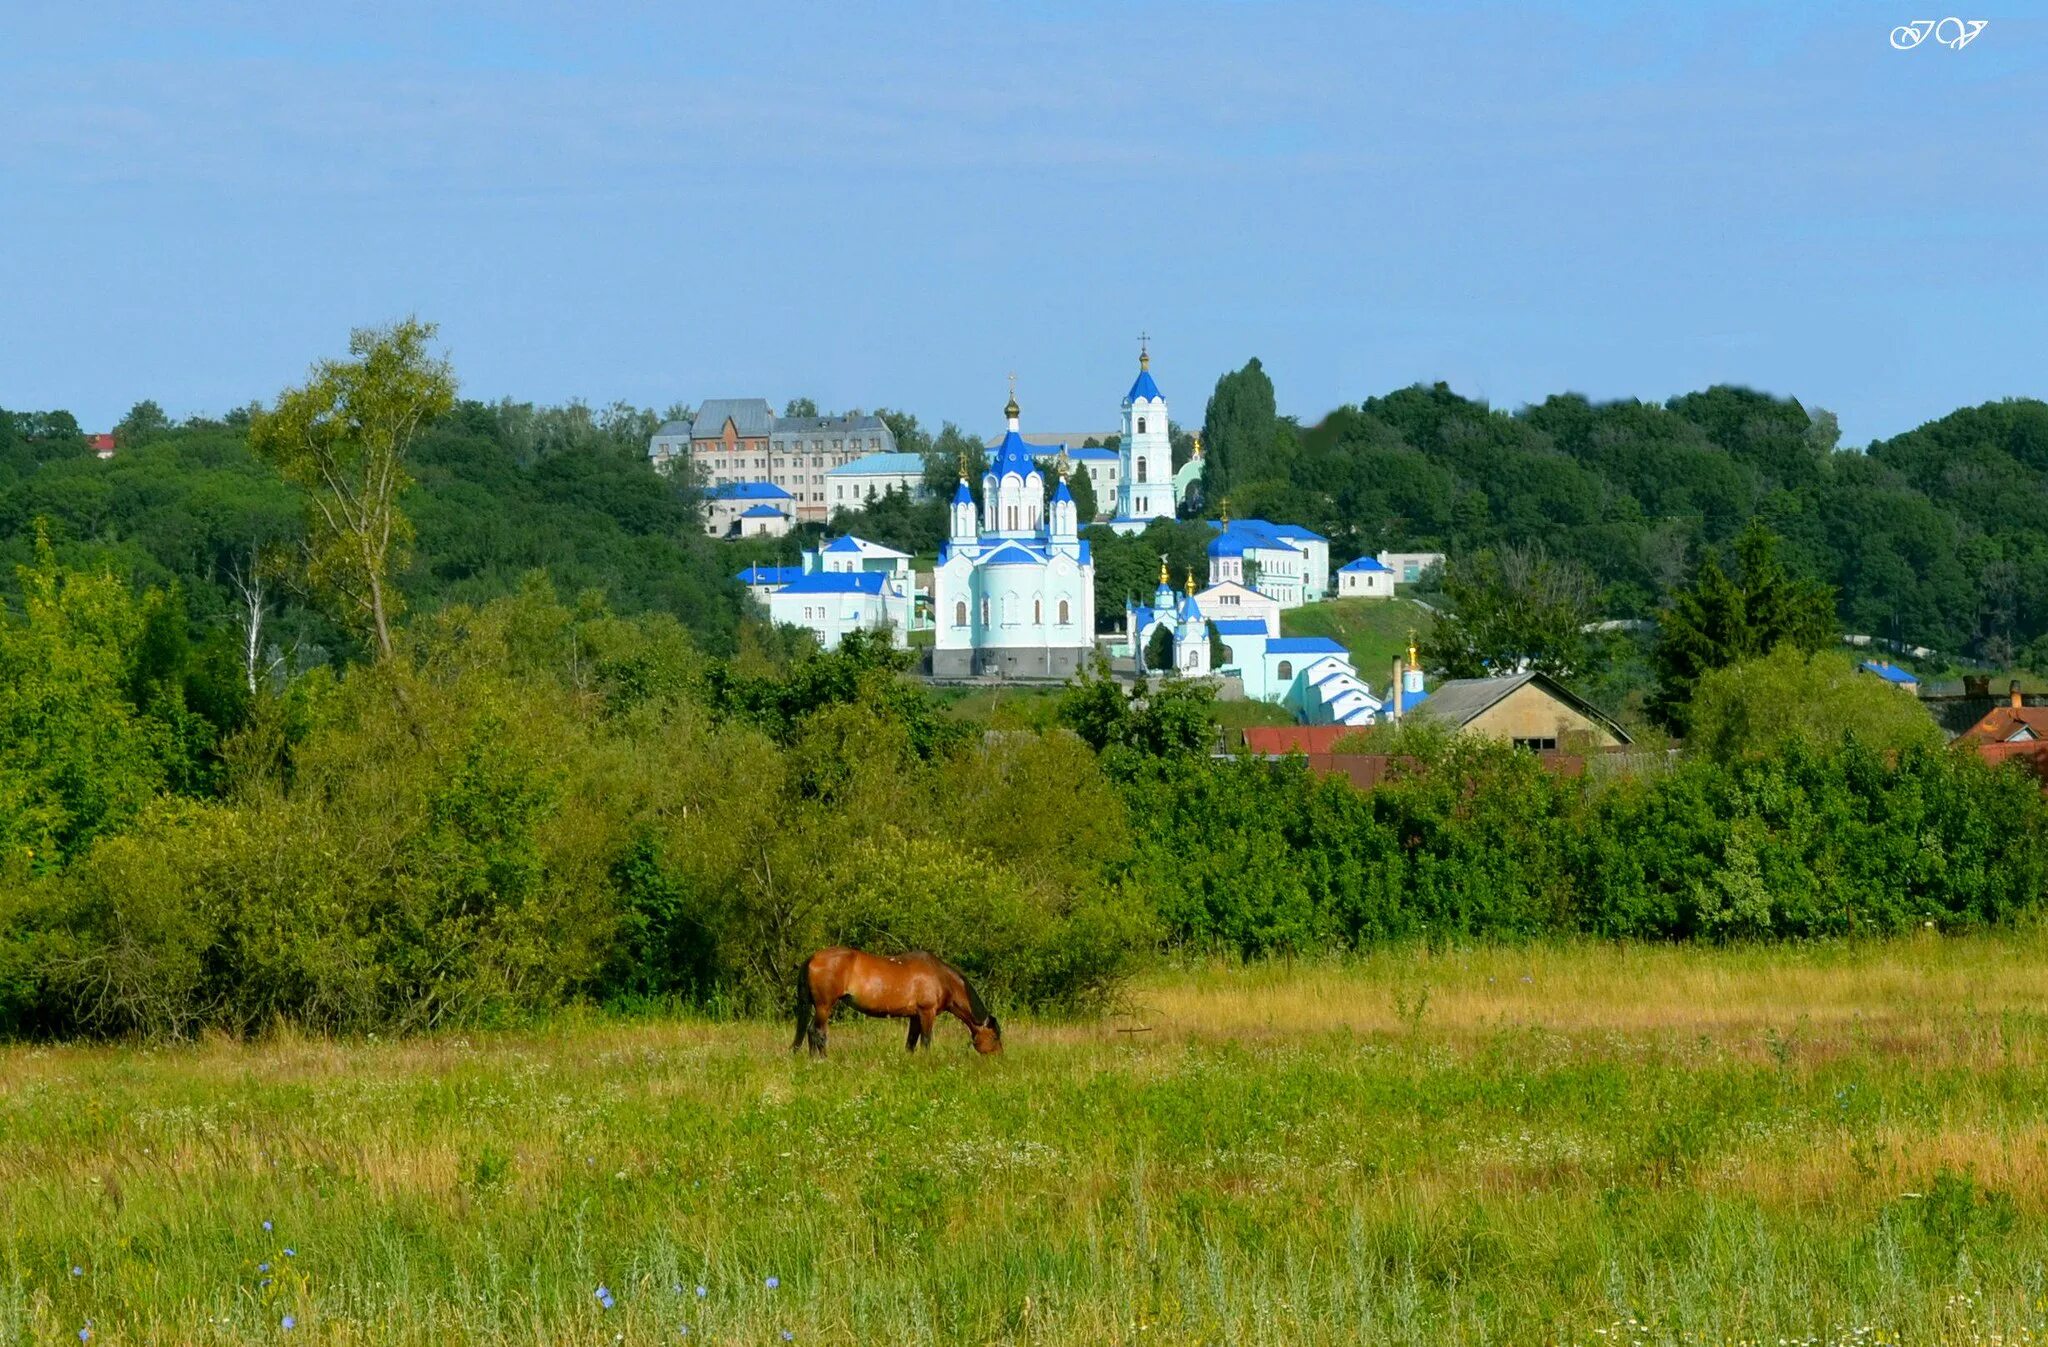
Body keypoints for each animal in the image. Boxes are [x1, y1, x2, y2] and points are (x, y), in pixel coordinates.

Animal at [790, 937, 999, 1056]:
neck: (940, 977)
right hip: (824, 1006)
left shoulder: (915, 1016)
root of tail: (812, 958)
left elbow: (911, 1043)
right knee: (817, 1032)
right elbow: (926, 1041)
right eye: (996, 1037)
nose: (999, 1059)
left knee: (810, 1032)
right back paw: (822, 1059)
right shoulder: (927, 1013)